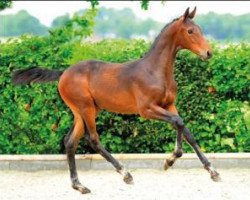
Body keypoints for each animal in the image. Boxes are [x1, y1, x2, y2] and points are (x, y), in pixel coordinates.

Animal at [12, 7, 219, 194]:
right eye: (190, 31)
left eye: (199, 28)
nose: (208, 53)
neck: (155, 70)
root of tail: (63, 73)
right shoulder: (147, 109)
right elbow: (178, 122)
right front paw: (170, 159)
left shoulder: (169, 105)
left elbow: (186, 130)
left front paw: (210, 170)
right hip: (86, 108)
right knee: (93, 139)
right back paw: (125, 173)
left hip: (82, 111)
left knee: (70, 141)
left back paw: (79, 185)